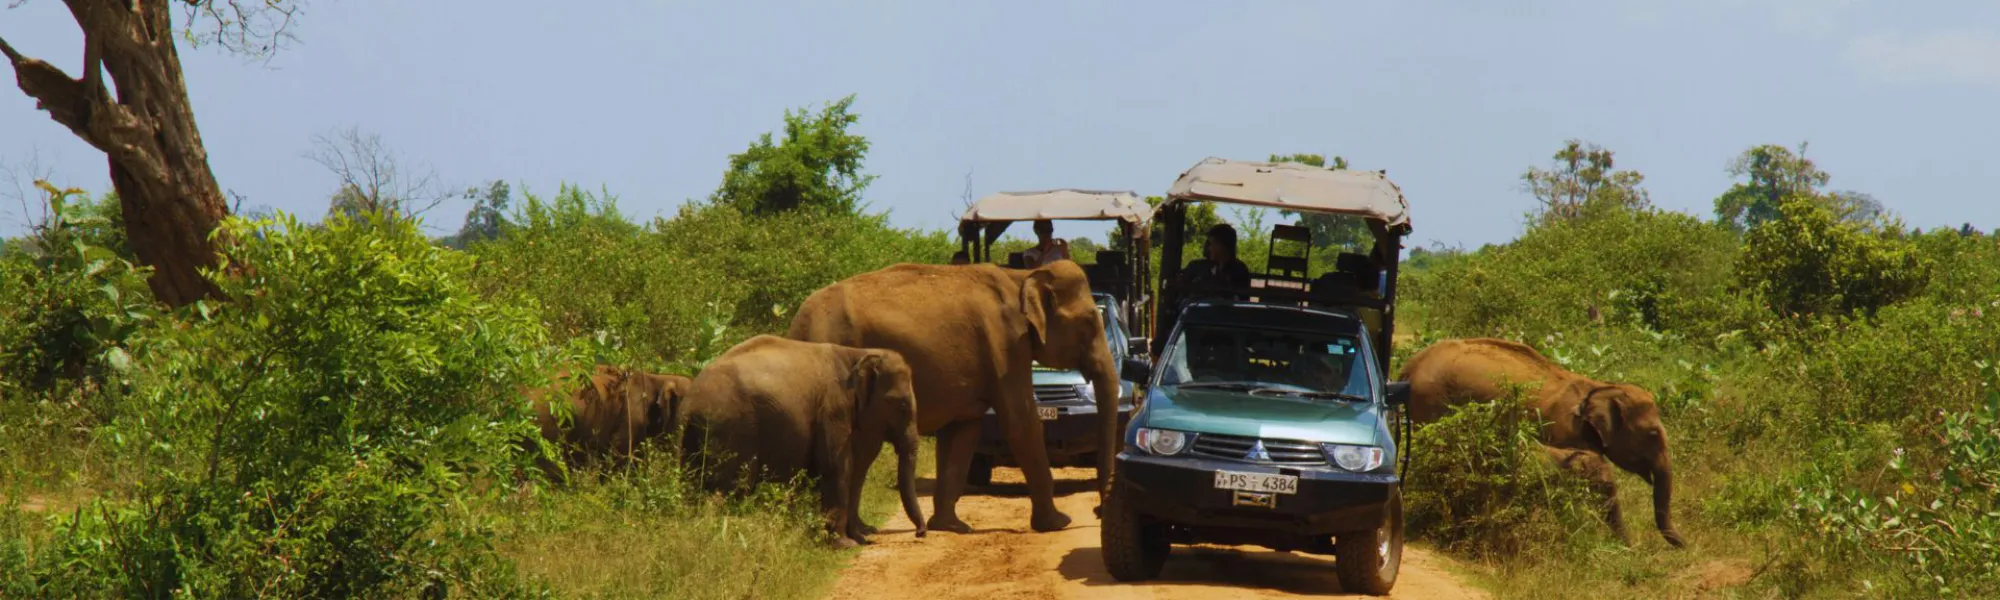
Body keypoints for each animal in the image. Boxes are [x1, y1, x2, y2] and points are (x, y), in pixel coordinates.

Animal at [672, 332, 920, 548]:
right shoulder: (833, 408)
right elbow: (837, 466)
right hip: (730, 430)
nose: (920, 533)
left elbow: (856, 468)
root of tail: (689, 405)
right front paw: (846, 545)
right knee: (732, 488)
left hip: (694, 438)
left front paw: (859, 538)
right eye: (901, 405)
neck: (857, 354)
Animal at [784, 258, 1128, 536]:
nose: (1097, 511)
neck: (1022, 276)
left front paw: (952, 527)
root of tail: (796, 326)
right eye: (1088, 322)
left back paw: (859, 530)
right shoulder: (1007, 344)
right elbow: (1021, 423)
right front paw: (1058, 524)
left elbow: (964, 432)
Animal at [1400, 338, 1696, 548]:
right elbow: (1599, 478)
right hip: (1431, 402)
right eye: (1653, 434)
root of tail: (1410, 365)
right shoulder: (1565, 430)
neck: (1598, 387)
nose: (1687, 547)